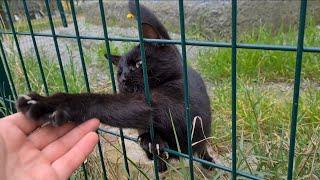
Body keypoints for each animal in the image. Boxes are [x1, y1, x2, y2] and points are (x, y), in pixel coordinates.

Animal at [15, 1, 215, 173]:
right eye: (119, 72)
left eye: (138, 64)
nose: (124, 79)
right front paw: (151, 143)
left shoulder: (171, 102)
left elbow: (102, 102)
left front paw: (47, 103)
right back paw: (157, 158)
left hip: (201, 131)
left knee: (201, 146)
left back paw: (207, 162)